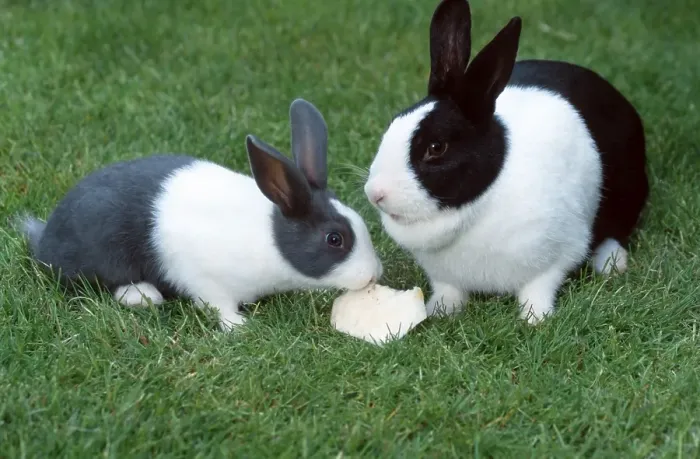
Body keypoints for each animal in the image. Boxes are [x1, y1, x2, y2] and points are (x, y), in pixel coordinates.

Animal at [19, 98, 384, 330]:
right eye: (334, 239)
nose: (373, 274)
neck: (272, 240)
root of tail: (45, 240)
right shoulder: (206, 280)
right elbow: (217, 304)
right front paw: (240, 326)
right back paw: (142, 295)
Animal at [363, 0, 649, 324]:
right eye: (394, 122)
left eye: (436, 148)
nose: (375, 193)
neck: (476, 208)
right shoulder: (444, 276)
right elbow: (449, 290)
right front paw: (439, 311)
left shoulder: (559, 256)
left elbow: (539, 287)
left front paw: (535, 319)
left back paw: (611, 262)